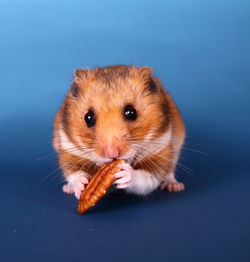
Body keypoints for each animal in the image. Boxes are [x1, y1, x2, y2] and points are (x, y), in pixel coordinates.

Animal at [53, 64, 186, 198]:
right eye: (88, 117)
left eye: (131, 112)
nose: (112, 153)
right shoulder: (70, 149)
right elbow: (74, 173)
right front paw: (81, 185)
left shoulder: (159, 151)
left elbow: (146, 177)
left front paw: (125, 174)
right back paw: (68, 189)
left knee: (169, 171)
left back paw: (175, 186)